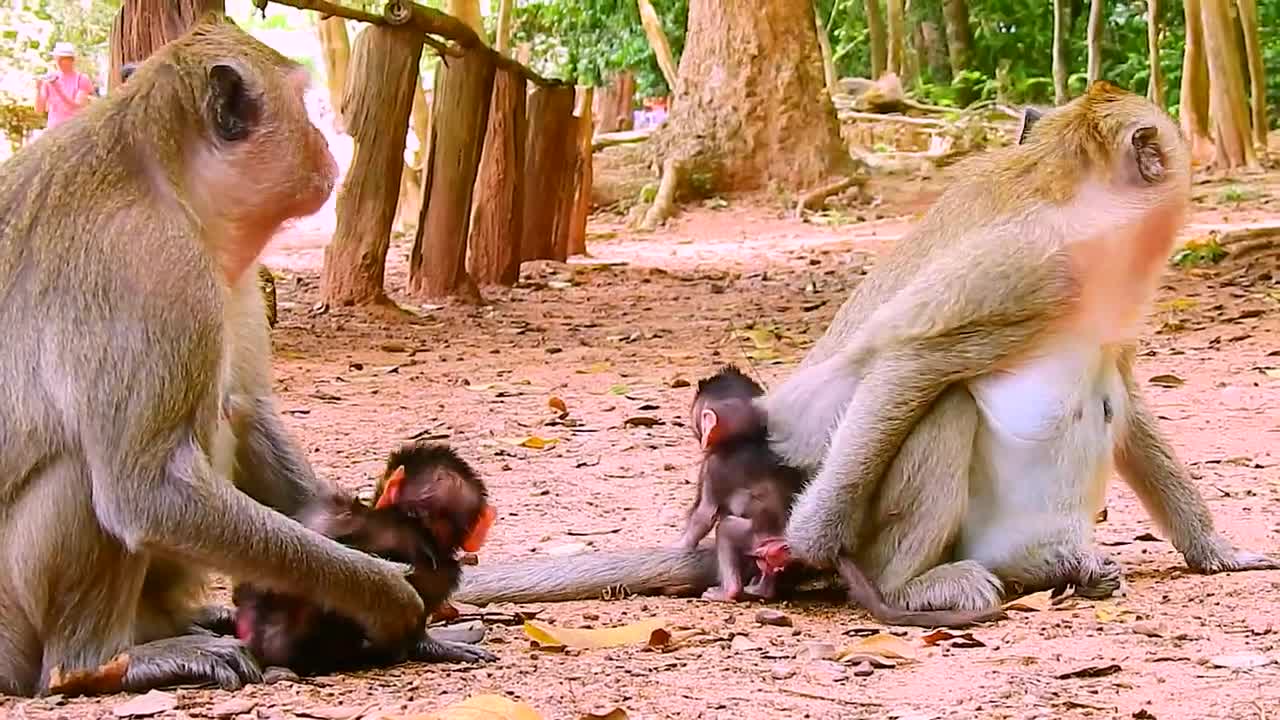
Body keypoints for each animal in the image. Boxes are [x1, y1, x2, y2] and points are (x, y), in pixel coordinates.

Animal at [0, 14, 422, 691]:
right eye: (306, 104)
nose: (330, 142)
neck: (168, 183)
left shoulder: (235, 273)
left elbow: (247, 405)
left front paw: (347, 522)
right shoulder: (155, 269)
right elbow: (147, 490)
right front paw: (381, 592)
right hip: (13, 629)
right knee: (91, 473)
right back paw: (100, 662)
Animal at [680, 366, 1008, 625]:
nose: (697, 431)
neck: (745, 438)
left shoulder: (711, 467)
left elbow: (705, 515)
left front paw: (682, 544)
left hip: (760, 540)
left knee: (727, 530)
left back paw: (731, 591)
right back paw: (763, 589)